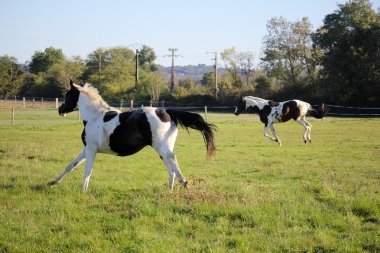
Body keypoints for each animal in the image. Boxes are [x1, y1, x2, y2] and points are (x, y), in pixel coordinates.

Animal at [47, 80, 215, 191]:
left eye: (67, 95)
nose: (60, 110)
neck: (94, 116)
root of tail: (166, 111)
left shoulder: (91, 149)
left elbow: (87, 170)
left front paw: (83, 190)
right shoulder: (86, 148)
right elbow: (71, 166)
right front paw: (52, 182)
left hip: (159, 146)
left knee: (172, 158)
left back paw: (184, 182)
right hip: (163, 147)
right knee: (170, 165)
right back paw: (170, 189)